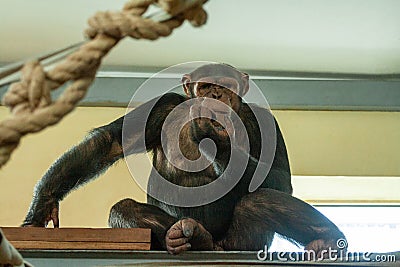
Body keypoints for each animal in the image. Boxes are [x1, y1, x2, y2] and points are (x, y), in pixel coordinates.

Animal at [23, 62, 346, 255]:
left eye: (225, 85)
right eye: (205, 85)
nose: (215, 95)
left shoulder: (265, 119)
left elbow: (279, 178)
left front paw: (216, 138)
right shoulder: (162, 106)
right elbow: (111, 142)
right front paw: (43, 203)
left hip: (241, 244)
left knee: (259, 201)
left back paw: (328, 238)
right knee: (125, 208)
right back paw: (180, 237)